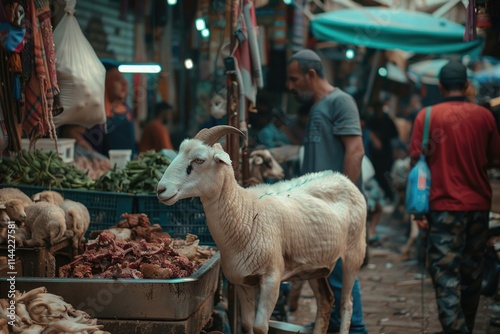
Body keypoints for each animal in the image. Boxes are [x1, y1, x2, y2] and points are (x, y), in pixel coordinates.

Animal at [157, 125, 368, 334]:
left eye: (199, 160)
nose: (160, 189)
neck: (247, 211)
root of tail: (340, 176)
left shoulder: (271, 278)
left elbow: (259, 327)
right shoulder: (242, 280)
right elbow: (247, 324)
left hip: (354, 253)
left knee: (346, 304)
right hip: (315, 265)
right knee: (326, 301)